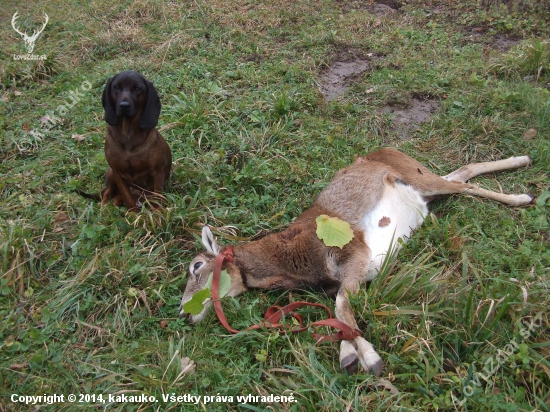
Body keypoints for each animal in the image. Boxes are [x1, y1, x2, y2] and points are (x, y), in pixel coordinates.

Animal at [101, 70, 172, 209]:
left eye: (138, 88)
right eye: (116, 86)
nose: (124, 106)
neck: (128, 135)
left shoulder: (157, 171)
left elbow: (158, 198)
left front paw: (158, 213)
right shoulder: (118, 173)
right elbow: (128, 199)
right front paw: (133, 212)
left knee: (118, 197)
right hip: (111, 173)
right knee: (108, 192)